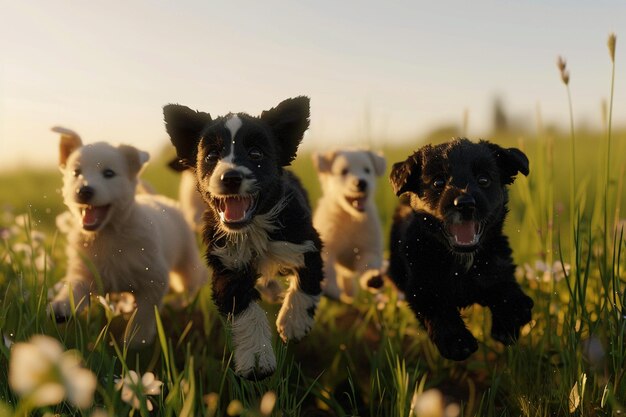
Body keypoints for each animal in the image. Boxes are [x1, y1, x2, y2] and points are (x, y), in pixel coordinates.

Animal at [49, 127, 205, 348]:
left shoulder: (154, 280)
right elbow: (75, 288)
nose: (84, 190)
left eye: (109, 173)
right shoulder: (85, 271)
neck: (110, 234)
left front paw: (135, 340)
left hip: (186, 258)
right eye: (76, 173)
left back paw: (183, 300)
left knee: (192, 279)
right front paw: (62, 306)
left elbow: (144, 313)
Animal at [162, 96, 322, 378]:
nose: (231, 177)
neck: (253, 227)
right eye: (211, 155)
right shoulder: (227, 265)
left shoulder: (304, 240)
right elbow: (246, 311)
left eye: (256, 154)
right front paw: (257, 360)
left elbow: (308, 277)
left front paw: (293, 322)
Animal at [312, 148, 386, 300]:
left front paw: (373, 278)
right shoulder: (327, 244)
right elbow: (328, 267)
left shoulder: (369, 247)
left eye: (367, 170)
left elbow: (369, 263)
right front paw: (331, 289)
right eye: (344, 171)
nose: (361, 183)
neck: (350, 218)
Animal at [388, 138, 532, 360]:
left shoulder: (497, 268)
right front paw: (457, 342)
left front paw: (509, 320)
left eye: (483, 180)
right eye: (438, 182)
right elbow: (437, 308)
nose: (464, 204)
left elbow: (506, 289)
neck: (461, 263)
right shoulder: (421, 285)